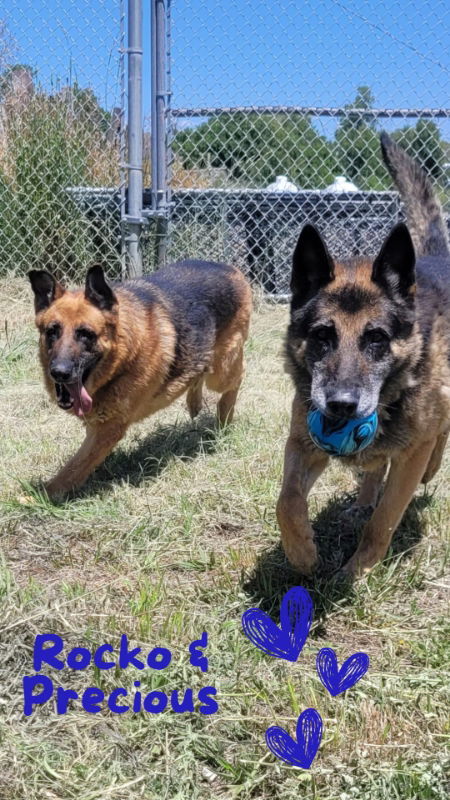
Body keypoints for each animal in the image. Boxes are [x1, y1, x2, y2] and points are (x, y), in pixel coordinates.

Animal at [29, 260, 251, 496]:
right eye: (52, 331)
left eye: (86, 334)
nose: (59, 373)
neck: (123, 356)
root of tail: (228, 268)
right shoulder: (98, 426)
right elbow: (76, 465)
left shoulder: (107, 430)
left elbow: (72, 469)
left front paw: (38, 496)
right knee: (199, 374)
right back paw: (194, 403)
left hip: (221, 373)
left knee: (237, 377)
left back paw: (224, 417)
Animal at [276, 134, 450, 580]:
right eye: (322, 336)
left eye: (376, 339)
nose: (341, 405)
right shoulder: (302, 442)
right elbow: (287, 501)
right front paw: (302, 553)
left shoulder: (410, 455)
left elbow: (384, 520)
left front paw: (359, 571)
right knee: (374, 467)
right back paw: (362, 500)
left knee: (435, 441)